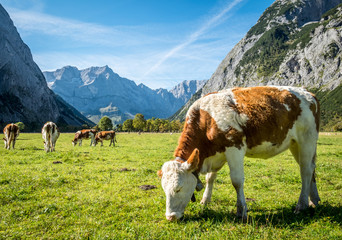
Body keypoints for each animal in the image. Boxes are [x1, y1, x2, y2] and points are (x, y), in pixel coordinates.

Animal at [158, 86, 320, 221]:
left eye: (178, 188)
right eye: (164, 189)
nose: (170, 217)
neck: (207, 119)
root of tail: (309, 93)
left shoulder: (234, 147)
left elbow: (236, 181)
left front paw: (241, 211)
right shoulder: (217, 153)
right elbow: (210, 178)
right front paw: (205, 201)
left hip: (307, 139)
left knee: (305, 170)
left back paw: (302, 205)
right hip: (295, 144)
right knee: (311, 167)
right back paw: (314, 200)